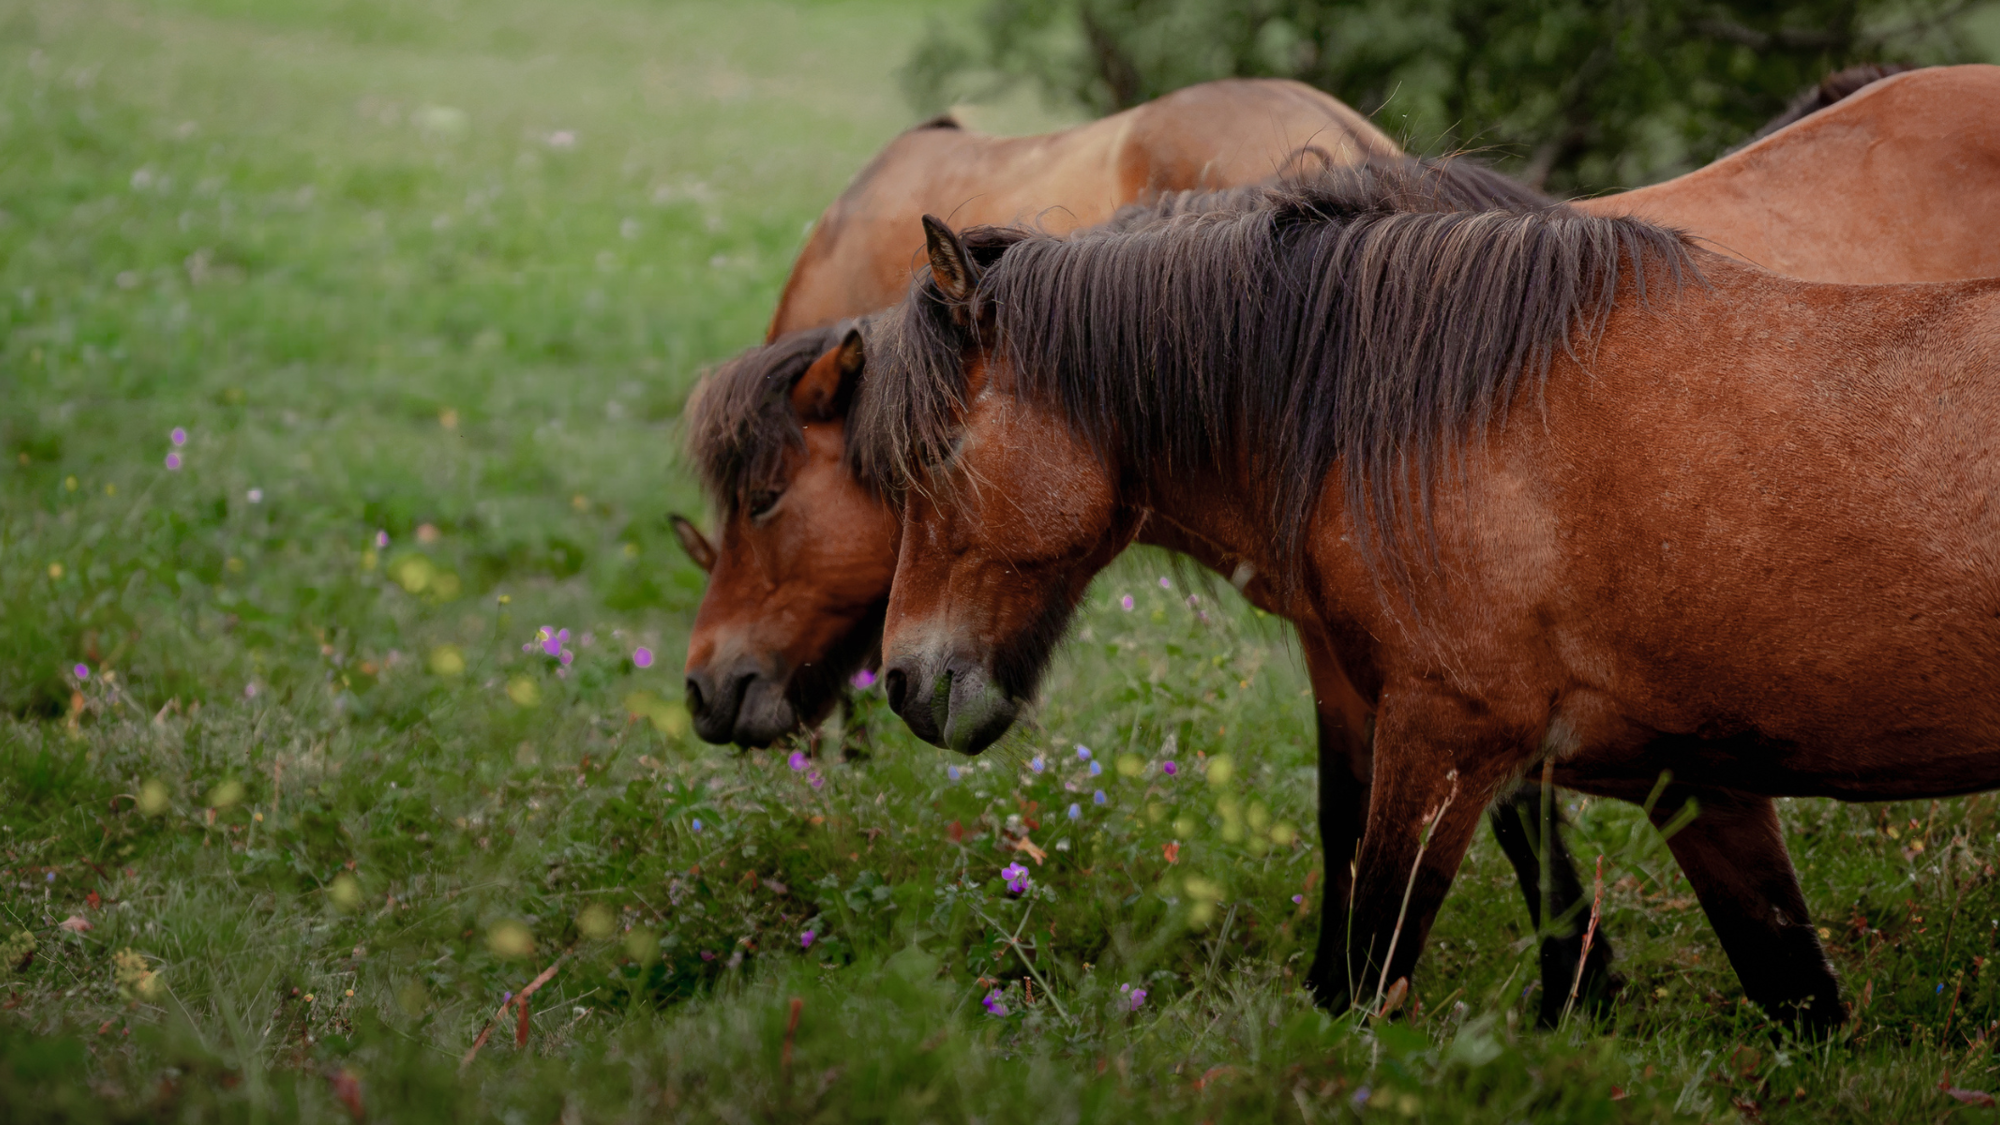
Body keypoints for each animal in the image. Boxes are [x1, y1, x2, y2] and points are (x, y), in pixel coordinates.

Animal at [857, 167, 2000, 1032]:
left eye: (937, 452)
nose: (905, 681)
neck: (1443, 417)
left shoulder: (1443, 739)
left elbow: (1373, 968)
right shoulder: (1700, 786)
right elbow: (1797, 995)